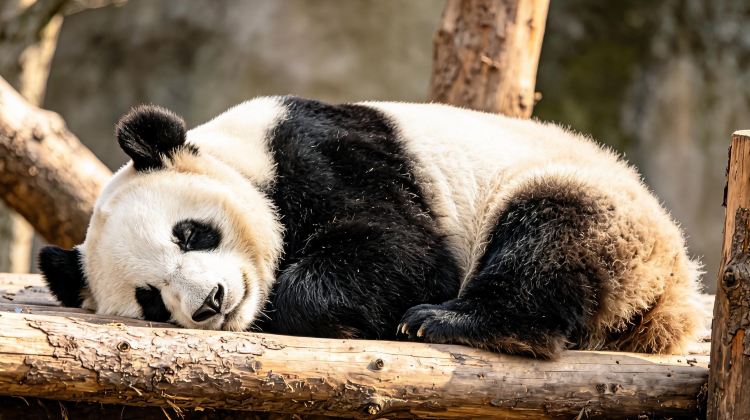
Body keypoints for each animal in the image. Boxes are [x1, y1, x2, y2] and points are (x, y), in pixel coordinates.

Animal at [38, 96, 705, 359]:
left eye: (189, 233)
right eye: (150, 299)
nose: (210, 302)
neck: (240, 155)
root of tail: (675, 295)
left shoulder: (327, 155)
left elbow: (403, 249)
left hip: (605, 211)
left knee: (549, 235)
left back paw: (453, 322)